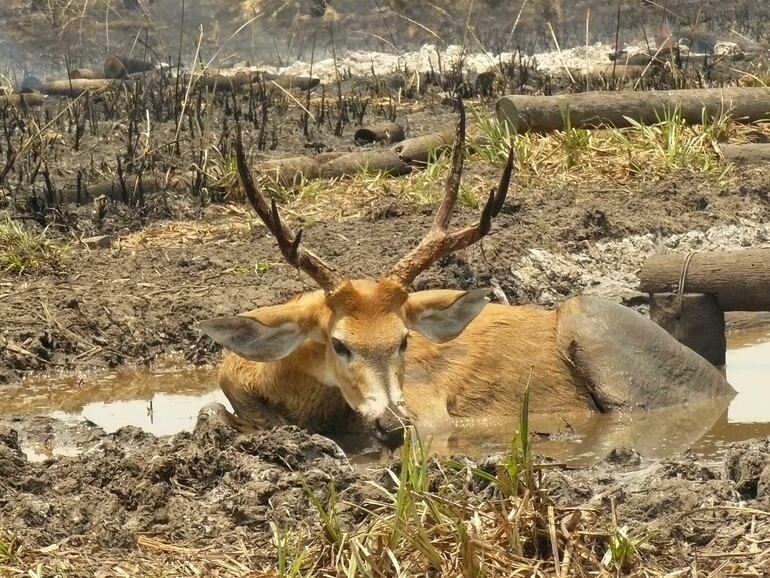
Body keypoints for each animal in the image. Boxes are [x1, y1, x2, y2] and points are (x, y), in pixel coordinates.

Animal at [201, 104, 736, 446]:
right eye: (339, 343)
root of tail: (719, 383)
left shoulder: (430, 408)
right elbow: (210, 411)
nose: (393, 426)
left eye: (404, 340)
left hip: (594, 326)